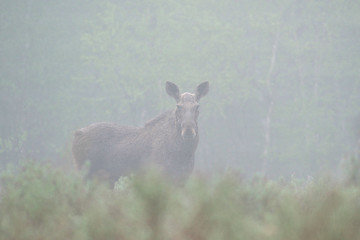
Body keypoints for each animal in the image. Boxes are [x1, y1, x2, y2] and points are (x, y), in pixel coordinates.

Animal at [72, 81, 210, 187]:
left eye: (197, 106)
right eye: (178, 106)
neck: (183, 153)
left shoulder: (182, 180)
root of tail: (76, 134)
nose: (188, 130)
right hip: (85, 174)